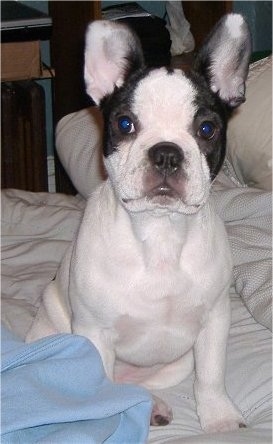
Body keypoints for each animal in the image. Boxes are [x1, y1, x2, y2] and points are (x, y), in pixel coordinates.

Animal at [26, 14, 250, 434]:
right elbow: (102, 387)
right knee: (106, 383)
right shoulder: (94, 331)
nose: (166, 153)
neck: (160, 230)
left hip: (177, 365)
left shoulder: (214, 321)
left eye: (207, 130)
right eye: (126, 124)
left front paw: (220, 417)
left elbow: (211, 375)